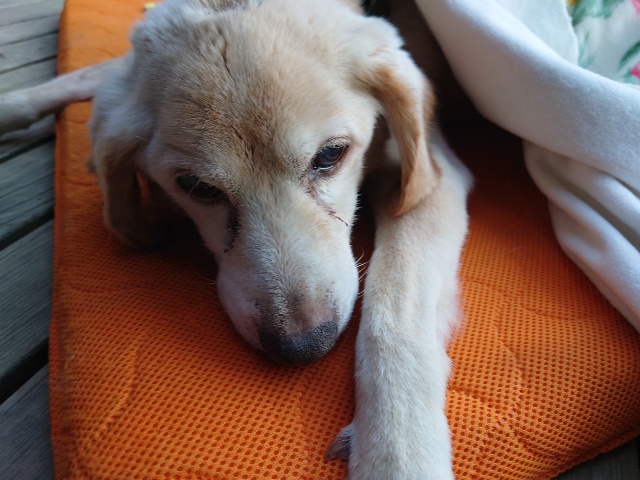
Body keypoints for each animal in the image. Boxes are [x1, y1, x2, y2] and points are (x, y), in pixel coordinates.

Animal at [0, 0, 472, 478]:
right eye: (195, 186)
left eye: (331, 154)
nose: (302, 347)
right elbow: (82, 78)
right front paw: (12, 106)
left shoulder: (433, 180)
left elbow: (395, 308)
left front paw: (397, 454)